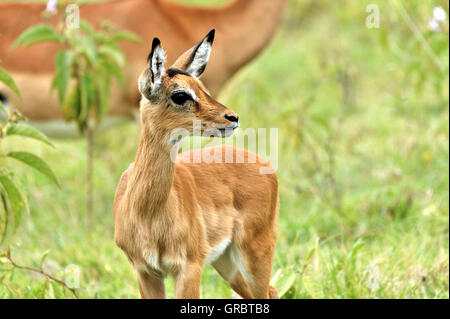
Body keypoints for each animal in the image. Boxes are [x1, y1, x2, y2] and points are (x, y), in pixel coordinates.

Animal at [113, 30, 278, 300]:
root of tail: (263, 163)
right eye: (180, 95)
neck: (147, 213)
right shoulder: (146, 272)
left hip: (255, 253)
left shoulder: (189, 267)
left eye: (202, 88)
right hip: (227, 262)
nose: (232, 118)